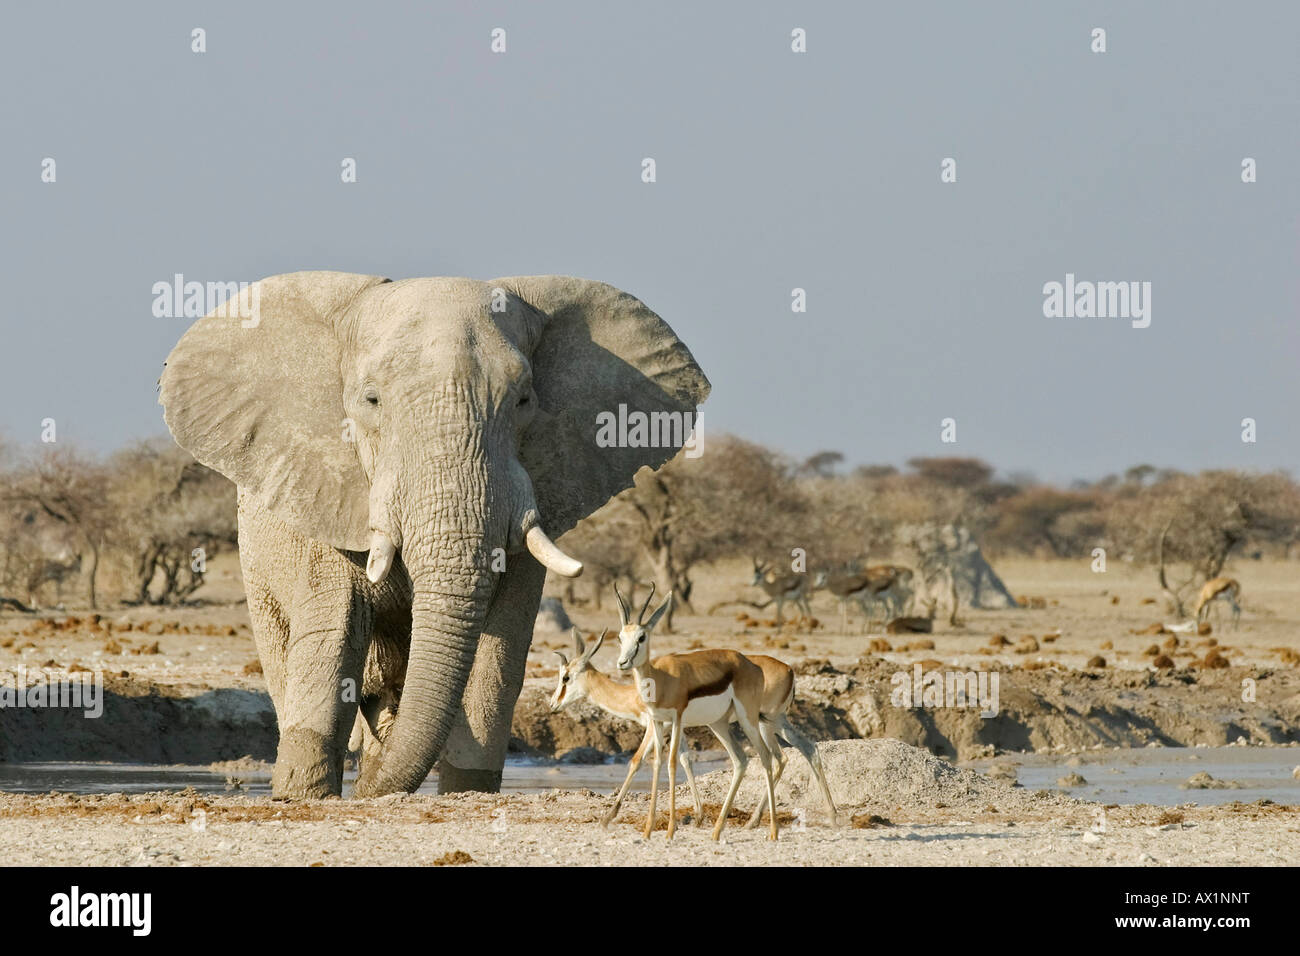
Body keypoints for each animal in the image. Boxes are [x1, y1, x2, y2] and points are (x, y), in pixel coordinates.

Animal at [163, 270, 717, 801]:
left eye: (524, 400)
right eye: (371, 400)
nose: (365, 797)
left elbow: (499, 655)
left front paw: (466, 791)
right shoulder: (325, 489)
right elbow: (331, 640)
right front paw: (302, 798)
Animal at [551, 629, 707, 832]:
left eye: (566, 677)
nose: (553, 704)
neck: (633, 695)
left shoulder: (654, 725)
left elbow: (636, 760)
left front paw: (607, 817)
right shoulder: (675, 728)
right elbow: (685, 759)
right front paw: (698, 816)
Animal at [613, 587, 774, 842]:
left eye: (642, 637)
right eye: (620, 637)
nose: (623, 662)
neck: (662, 679)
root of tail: (752, 665)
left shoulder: (677, 719)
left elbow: (672, 763)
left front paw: (670, 829)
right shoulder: (658, 721)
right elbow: (657, 762)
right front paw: (648, 830)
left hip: (747, 719)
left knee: (766, 756)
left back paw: (773, 832)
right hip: (718, 724)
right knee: (741, 760)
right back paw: (717, 831)